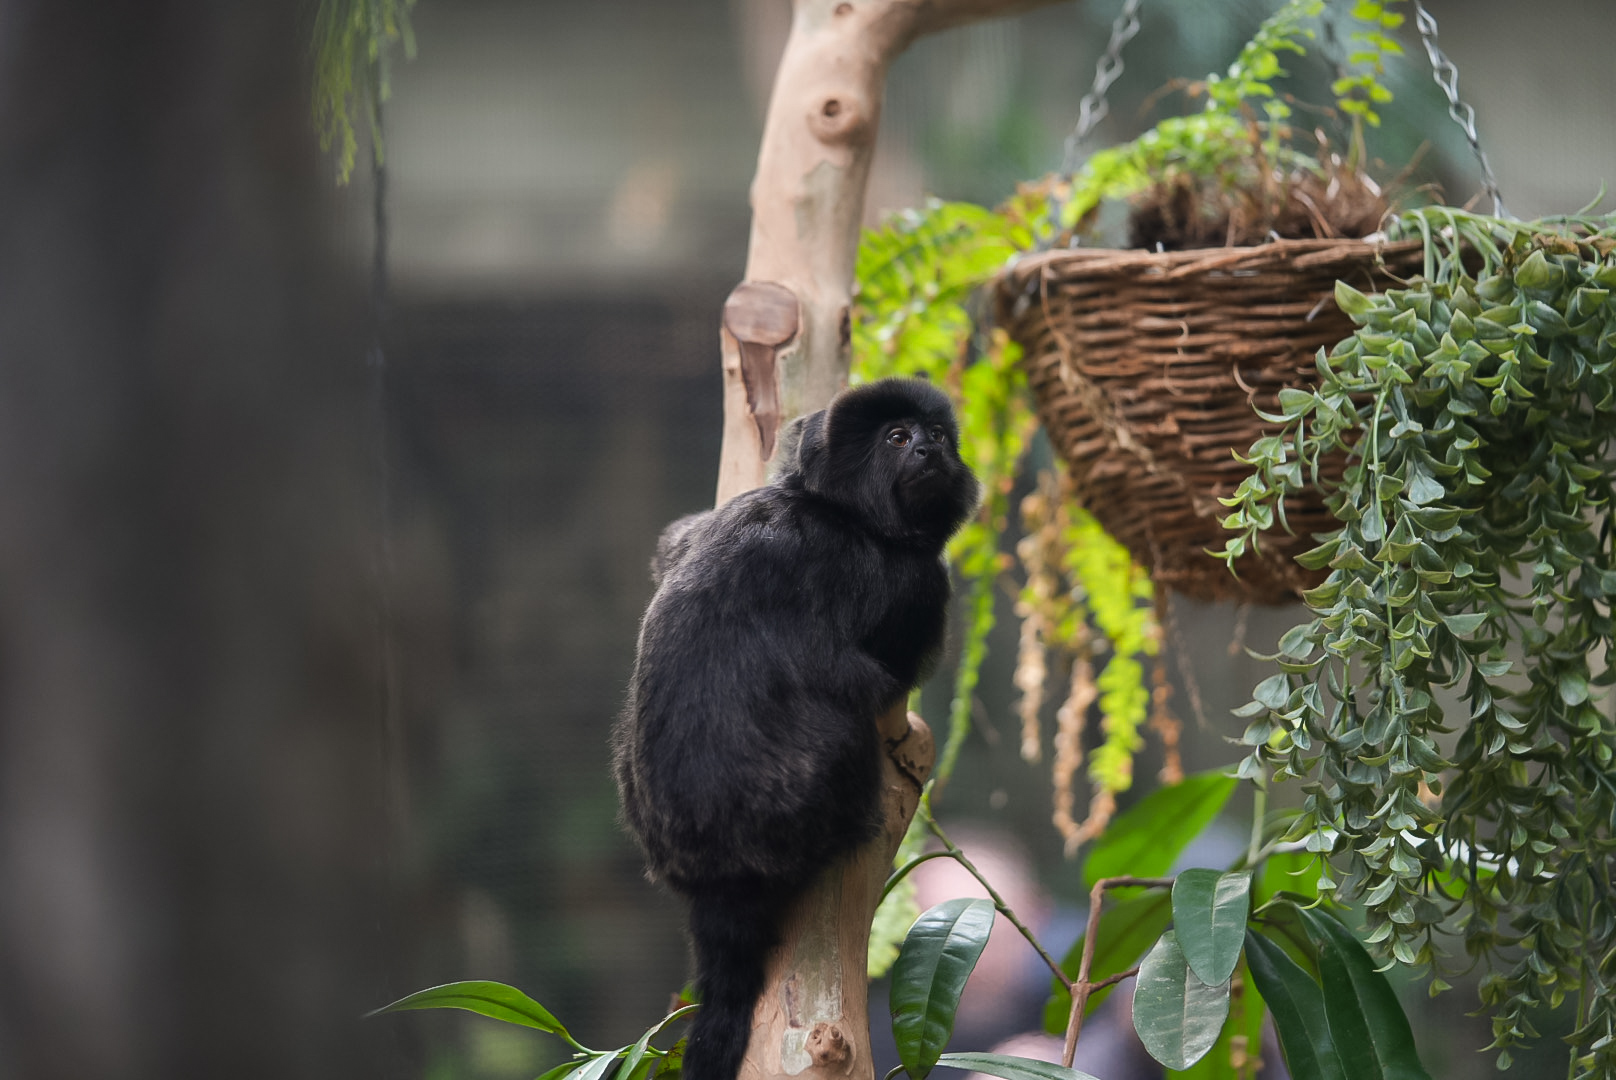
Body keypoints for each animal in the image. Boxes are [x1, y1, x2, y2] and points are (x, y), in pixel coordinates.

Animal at [612, 377, 979, 1080]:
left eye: (938, 437)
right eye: (899, 438)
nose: (928, 449)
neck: (838, 510)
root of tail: (713, 873)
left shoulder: (705, 526)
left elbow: (670, 551)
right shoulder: (909, 581)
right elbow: (876, 670)